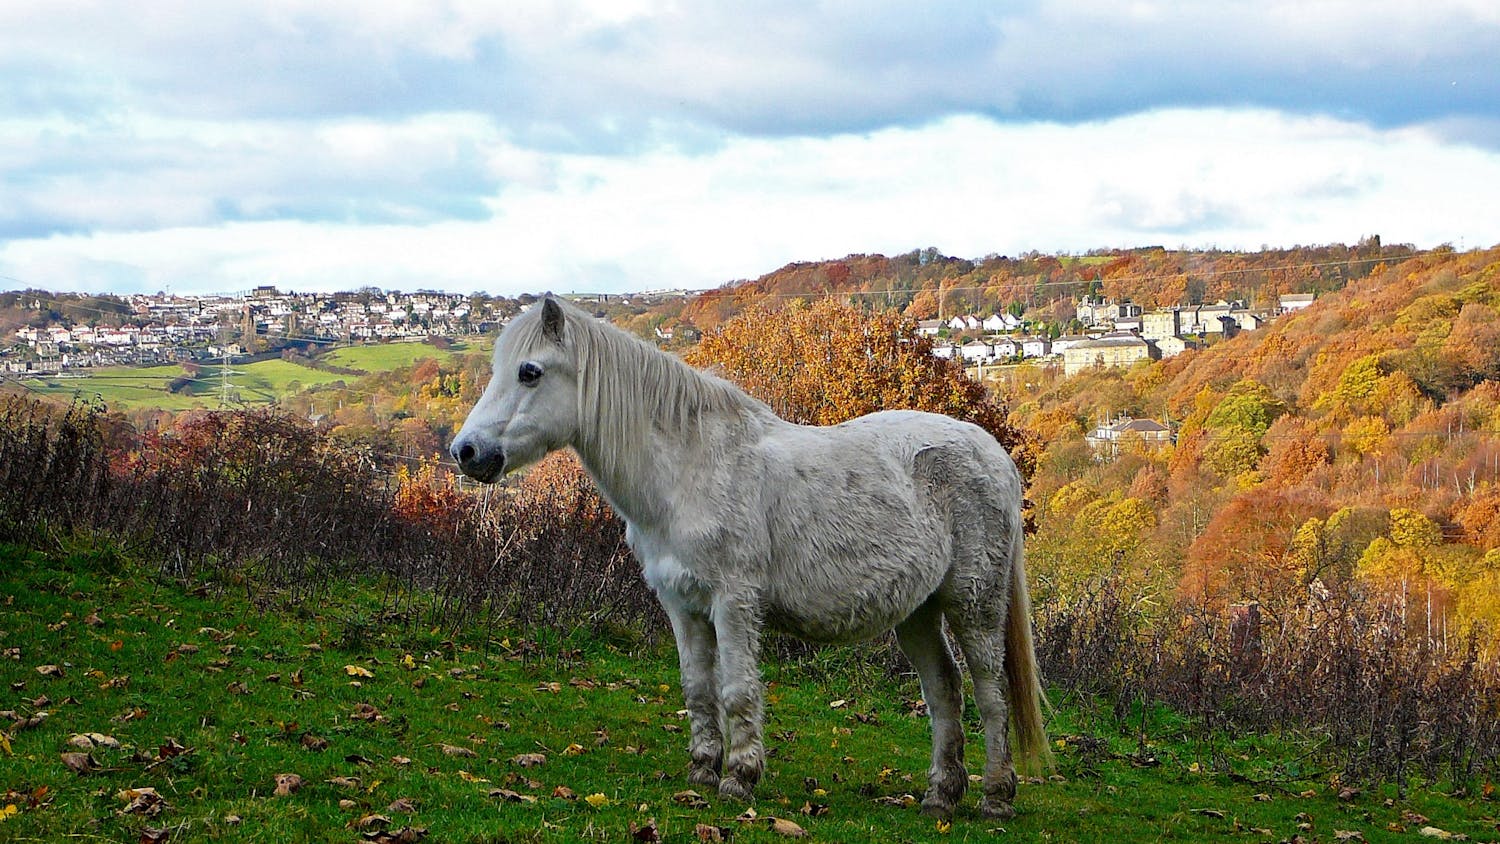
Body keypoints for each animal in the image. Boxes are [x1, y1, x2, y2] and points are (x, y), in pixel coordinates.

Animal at [450, 295, 1049, 819]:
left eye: (530, 372)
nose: (466, 452)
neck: (689, 469)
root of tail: (993, 453)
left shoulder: (734, 604)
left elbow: (737, 690)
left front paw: (739, 777)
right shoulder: (683, 607)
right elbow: (698, 689)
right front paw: (701, 771)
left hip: (975, 605)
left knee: (991, 692)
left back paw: (997, 797)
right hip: (918, 612)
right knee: (945, 691)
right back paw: (940, 797)